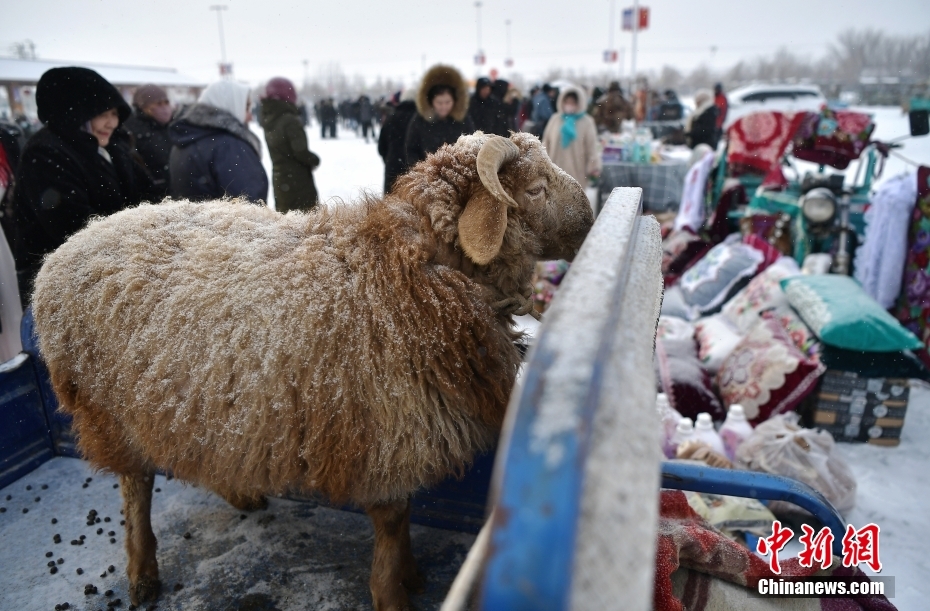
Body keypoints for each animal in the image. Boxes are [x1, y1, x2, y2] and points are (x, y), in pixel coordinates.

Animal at [30, 131, 596, 608]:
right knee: (136, 487)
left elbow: (405, 518)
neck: (409, 271)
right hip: (110, 410)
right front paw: (392, 592)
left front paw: (412, 576)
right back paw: (143, 571)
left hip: (192, 405)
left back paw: (240, 493)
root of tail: (66, 249)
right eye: (537, 188)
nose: (592, 217)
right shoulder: (385, 432)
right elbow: (393, 521)